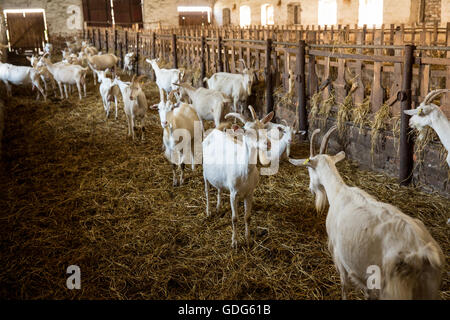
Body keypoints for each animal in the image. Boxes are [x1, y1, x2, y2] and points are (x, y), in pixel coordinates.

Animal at [202, 106, 272, 249]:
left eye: (264, 128)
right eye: (247, 132)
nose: (267, 144)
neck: (244, 171)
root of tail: (214, 132)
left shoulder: (250, 193)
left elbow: (247, 217)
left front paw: (248, 239)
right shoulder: (233, 193)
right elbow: (234, 218)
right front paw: (234, 242)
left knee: (219, 189)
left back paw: (218, 207)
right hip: (204, 172)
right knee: (207, 191)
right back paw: (209, 211)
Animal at [290, 125, 444, 300]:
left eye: (309, 170)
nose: (310, 189)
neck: (339, 191)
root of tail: (423, 253)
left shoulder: (338, 255)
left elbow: (344, 285)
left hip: (394, 289)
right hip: (429, 287)